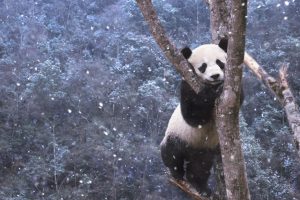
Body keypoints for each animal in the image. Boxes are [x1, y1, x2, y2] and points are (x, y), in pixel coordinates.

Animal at [161, 39, 243, 195]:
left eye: (220, 63)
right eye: (203, 67)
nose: (215, 76)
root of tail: (192, 150)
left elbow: (238, 98)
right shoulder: (187, 85)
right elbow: (193, 116)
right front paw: (211, 93)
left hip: (203, 151)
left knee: (199, 168)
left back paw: (201, 187)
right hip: (178, 134)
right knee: (171, 153)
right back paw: (176, 173)